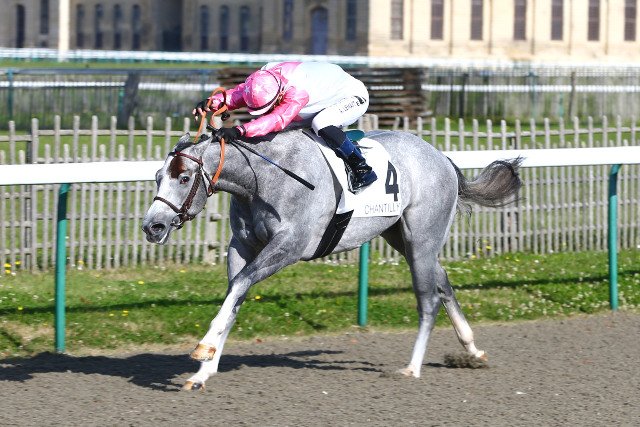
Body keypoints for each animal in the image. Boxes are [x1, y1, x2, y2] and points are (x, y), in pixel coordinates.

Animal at [142, 127, 522, 390]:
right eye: (159, 177)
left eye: (184, 177)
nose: (152, 226)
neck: (261, 178)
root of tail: (441, 157)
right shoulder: (242, 246)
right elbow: (235, 294)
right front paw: (204, 371)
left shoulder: (290, 246)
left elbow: (239, 287)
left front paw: (203, 348)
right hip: (401, 236)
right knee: (442, 282)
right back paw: (471, 350)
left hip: (422, 238)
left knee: (428, 299)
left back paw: (412, 367)